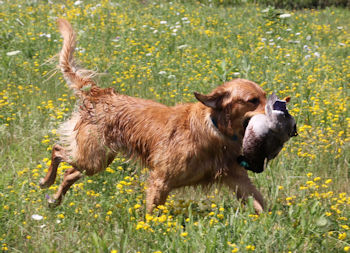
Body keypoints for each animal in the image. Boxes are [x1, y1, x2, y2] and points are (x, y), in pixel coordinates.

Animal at [38, 18, 266, 213]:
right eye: (253, 100)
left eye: (266, 96)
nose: (276, 113)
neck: (214, 129)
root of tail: (99, 93)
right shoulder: (160, 180)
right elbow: (151, 215)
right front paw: (150, 231)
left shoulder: (237, 178)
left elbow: (261, 205)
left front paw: (270, 226)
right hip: (93, 158)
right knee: (57, 150)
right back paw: (46, 181)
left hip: (96, 161)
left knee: (69, 173)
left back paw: (54, 200)